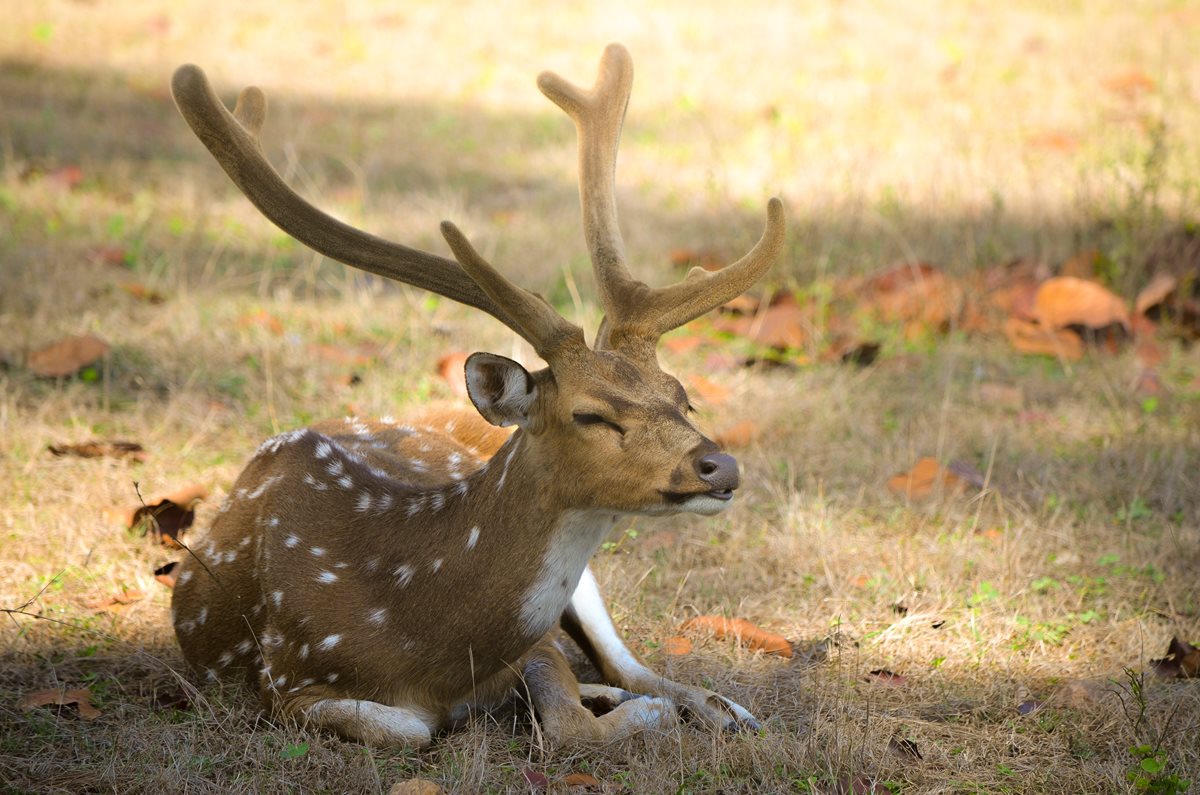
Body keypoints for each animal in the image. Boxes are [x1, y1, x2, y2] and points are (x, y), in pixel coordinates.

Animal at [171, 43, 787, 749]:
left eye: (682, 397)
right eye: (590, 414)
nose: (720, 465)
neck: (420, 642)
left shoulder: (534, 643)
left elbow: (569, 711)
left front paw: (645, 709)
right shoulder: (284, 679)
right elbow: (409, 728)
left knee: (629, 664)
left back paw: (724, 707)